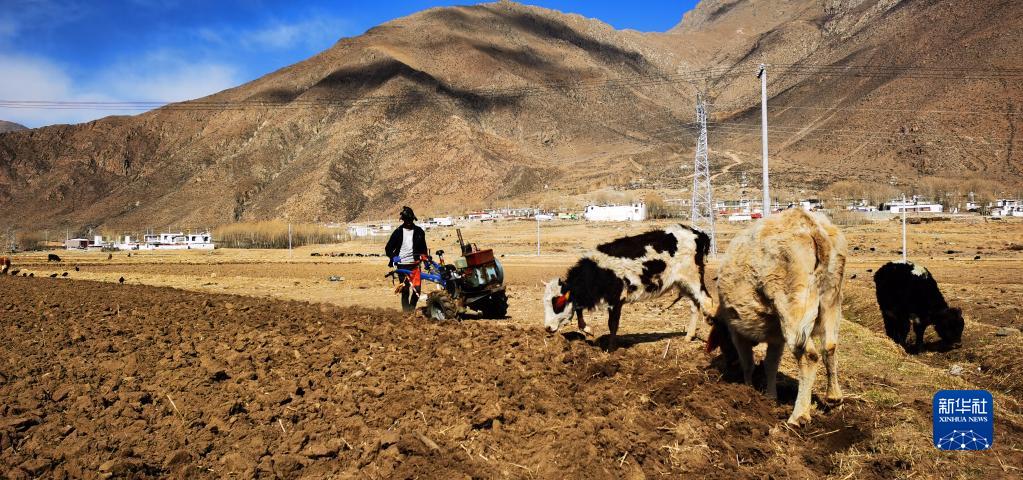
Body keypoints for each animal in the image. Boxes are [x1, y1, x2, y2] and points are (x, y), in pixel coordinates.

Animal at [542, 225, 715, 350]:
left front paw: (610, 348)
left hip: (693, 278)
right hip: (682, 283)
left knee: (707, 301)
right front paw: (588, 329)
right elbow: (579, 310)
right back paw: (688, 336)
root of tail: (699, 234)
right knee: (695, 305)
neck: (598, 271)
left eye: (558, 303)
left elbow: (612, 324)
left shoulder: (615, 299)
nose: (547, 328)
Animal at [707, 209, 847, 426]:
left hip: (793, 308)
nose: (729, 362)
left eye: (721, 338)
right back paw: (834, 398)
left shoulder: (737, 331)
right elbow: (771, 364)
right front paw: (770, 396)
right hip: (831, 301)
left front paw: (747, 389)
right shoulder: (776, 337)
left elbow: (749, 363)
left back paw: (799, 415)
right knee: (830, 348)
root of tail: (811, 225)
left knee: (809, 356)